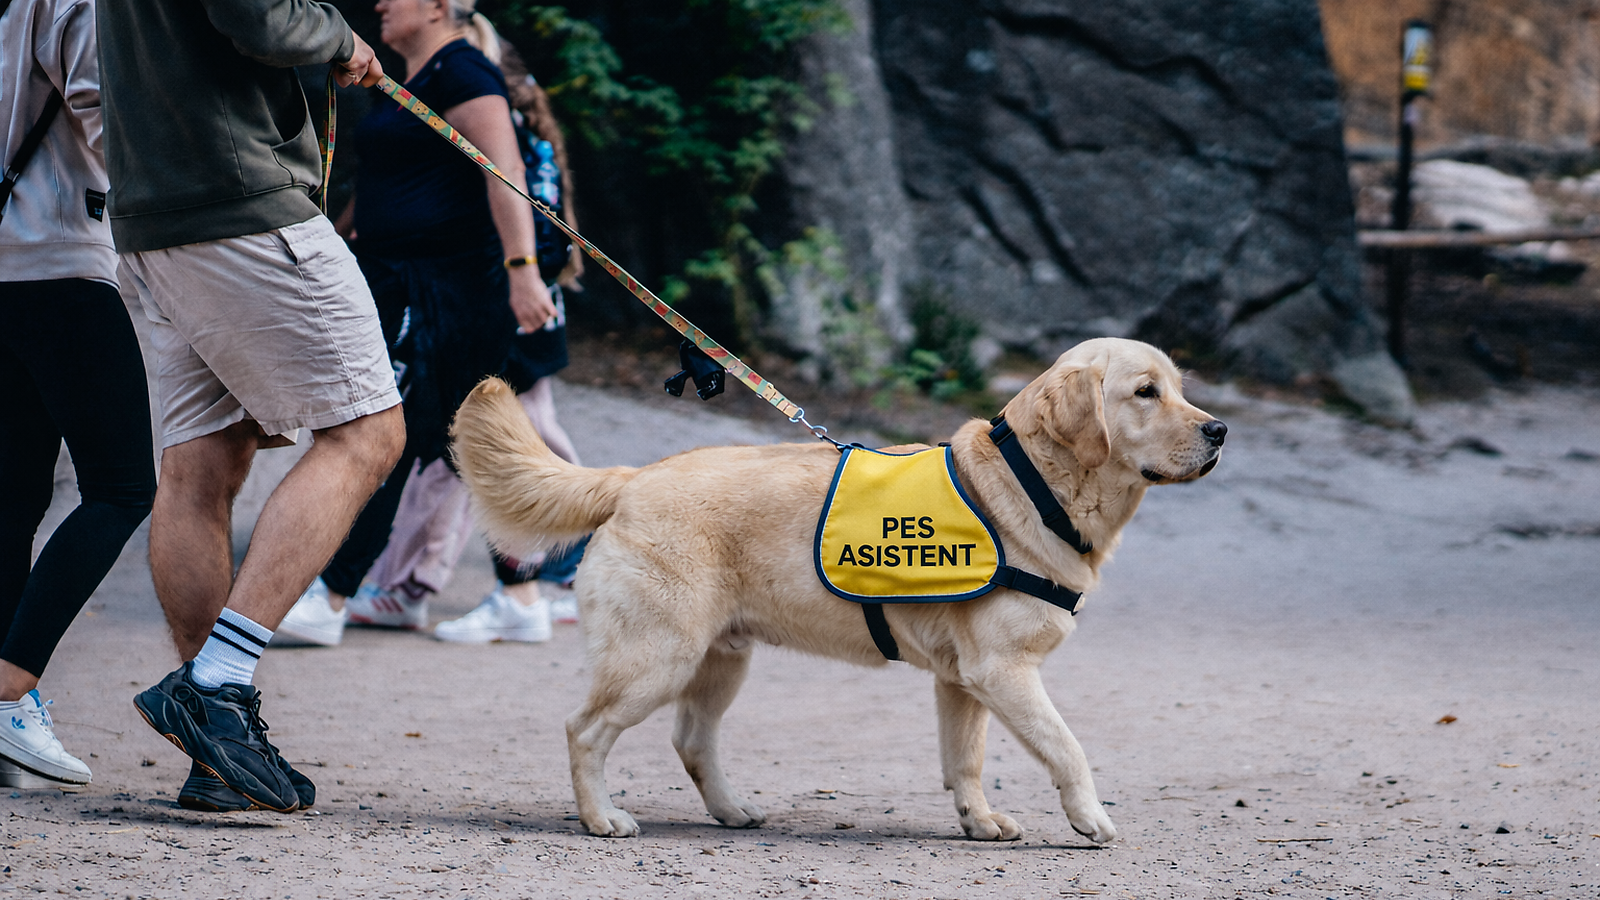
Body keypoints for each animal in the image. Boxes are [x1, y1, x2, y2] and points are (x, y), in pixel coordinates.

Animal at [450, 337, 1225, 842]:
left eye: (1181, 389)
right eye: (1145, 393)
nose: (1219, 429)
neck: (1032, 484)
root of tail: (632, 477)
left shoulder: (964, 681)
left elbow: (965, 762)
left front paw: (976, 821)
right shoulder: (1004, 673)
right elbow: (1068, 748)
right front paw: (1090, 818)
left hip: (719, 662)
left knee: (692, 742)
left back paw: (733, 811)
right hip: (655, 661)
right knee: (584, 731)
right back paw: (599, 817)